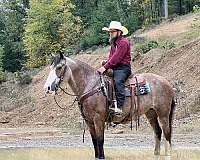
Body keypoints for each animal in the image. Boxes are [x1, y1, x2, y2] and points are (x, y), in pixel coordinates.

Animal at [43, 52, 175, 159]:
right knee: (158, 132)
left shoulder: (98, 119)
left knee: (167, 133)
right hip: (151, 113)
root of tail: (167, 82)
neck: (90, 85)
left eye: (59, 67)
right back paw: (156, 154)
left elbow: (100, 140)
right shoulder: (89, 121)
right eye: (50, 67)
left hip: (163, 114)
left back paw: (168, 155)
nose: (48, 88)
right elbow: (94, 141)